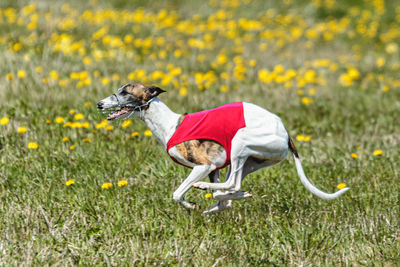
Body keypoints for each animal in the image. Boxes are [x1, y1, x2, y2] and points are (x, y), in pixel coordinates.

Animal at [96, 83, 346, 214]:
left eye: (125, 92)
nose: (99, 103)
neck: (169, 125)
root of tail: (285, 133)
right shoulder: (215, 168)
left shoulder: (204, 166)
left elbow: (177, 193)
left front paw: (191, 203)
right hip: (249, 160)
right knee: (229, 190)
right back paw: (230, 197)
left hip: (239, 143)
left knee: (230, 184)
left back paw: (212, 190)